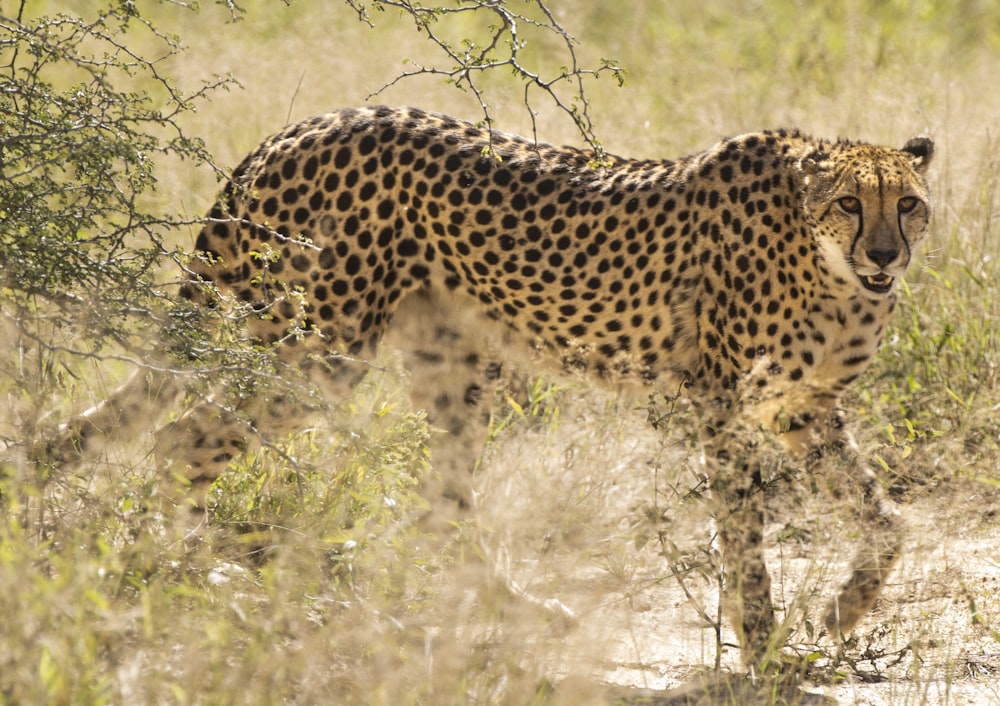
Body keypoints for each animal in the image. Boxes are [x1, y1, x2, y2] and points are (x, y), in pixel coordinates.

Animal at [48, 107, 936, 668]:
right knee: (182, 438)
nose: (885, 255)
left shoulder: (800, 408)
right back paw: (202, 575)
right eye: (849, 203)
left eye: (910, 204)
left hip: (450, 365)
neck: (828, 267)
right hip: (320, 350)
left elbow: (884, 518)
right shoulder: (719, 402)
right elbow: (744, 535)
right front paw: (764, 647)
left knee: (442, 505)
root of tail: (297, 128)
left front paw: (845, 611)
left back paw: (518, 612)